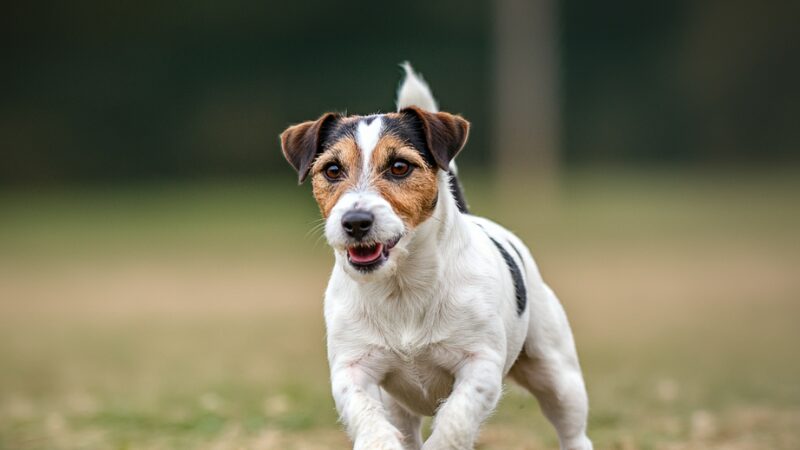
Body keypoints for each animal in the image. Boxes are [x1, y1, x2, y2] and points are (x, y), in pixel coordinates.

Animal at [278, 63, 592, 450]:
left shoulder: (479, 364)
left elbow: (455, 421)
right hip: (398, 404)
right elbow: (368, 419)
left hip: (557, 374)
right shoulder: (353, 369)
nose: (355, 222)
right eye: (332, 170)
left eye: (399, 166)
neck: (402, 287)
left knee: (572, 430)